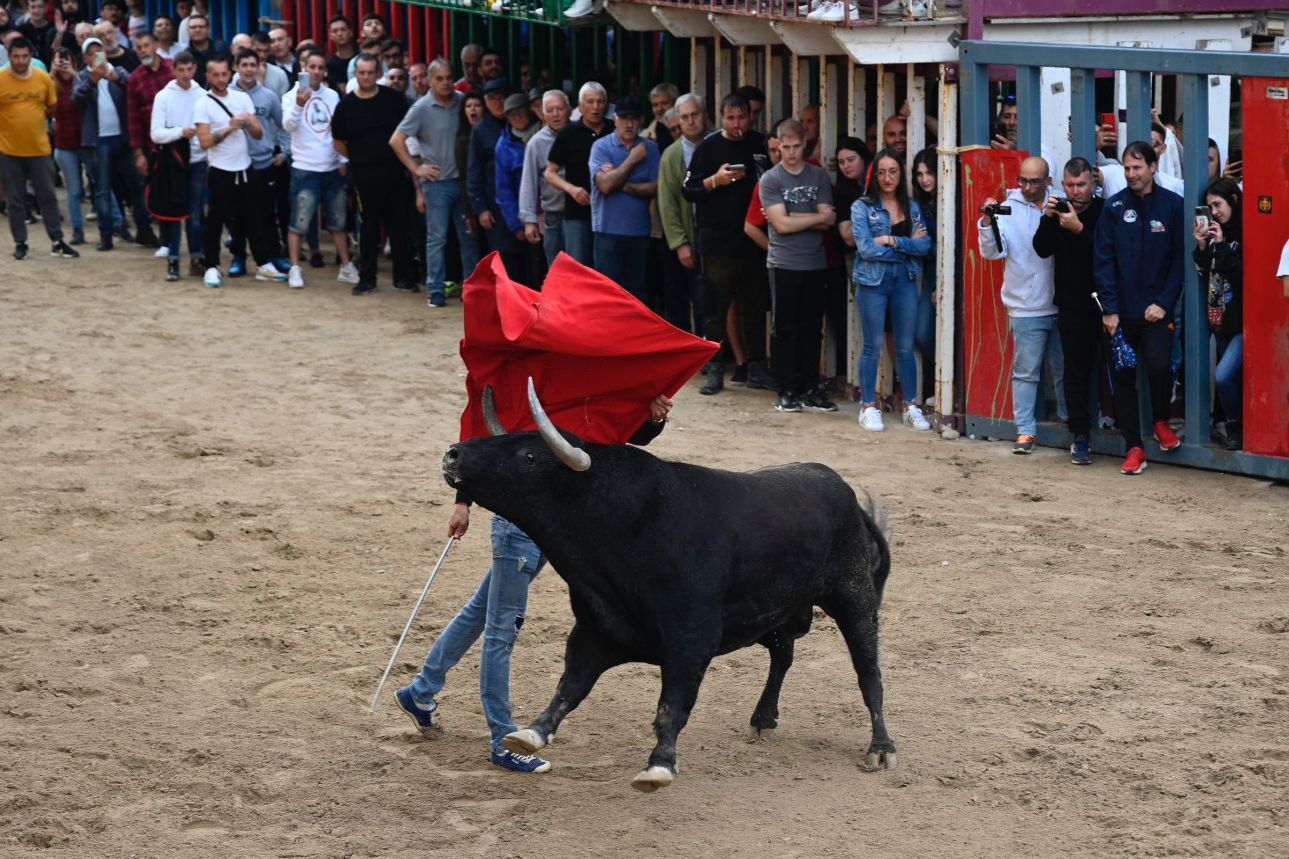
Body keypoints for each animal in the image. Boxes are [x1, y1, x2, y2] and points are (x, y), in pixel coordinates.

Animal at [443, 386, 897, 789]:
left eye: (530, 455)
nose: (453, 454)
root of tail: (846, 494)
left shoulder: (690, 638)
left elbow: (671, 704)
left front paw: (659, 765)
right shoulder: (595, 630)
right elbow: (570, 686)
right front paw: (530, 734)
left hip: (854, 598)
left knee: (868, 671)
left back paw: (881, 748)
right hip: (778, 611)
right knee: (783, 655)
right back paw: (763, 720)